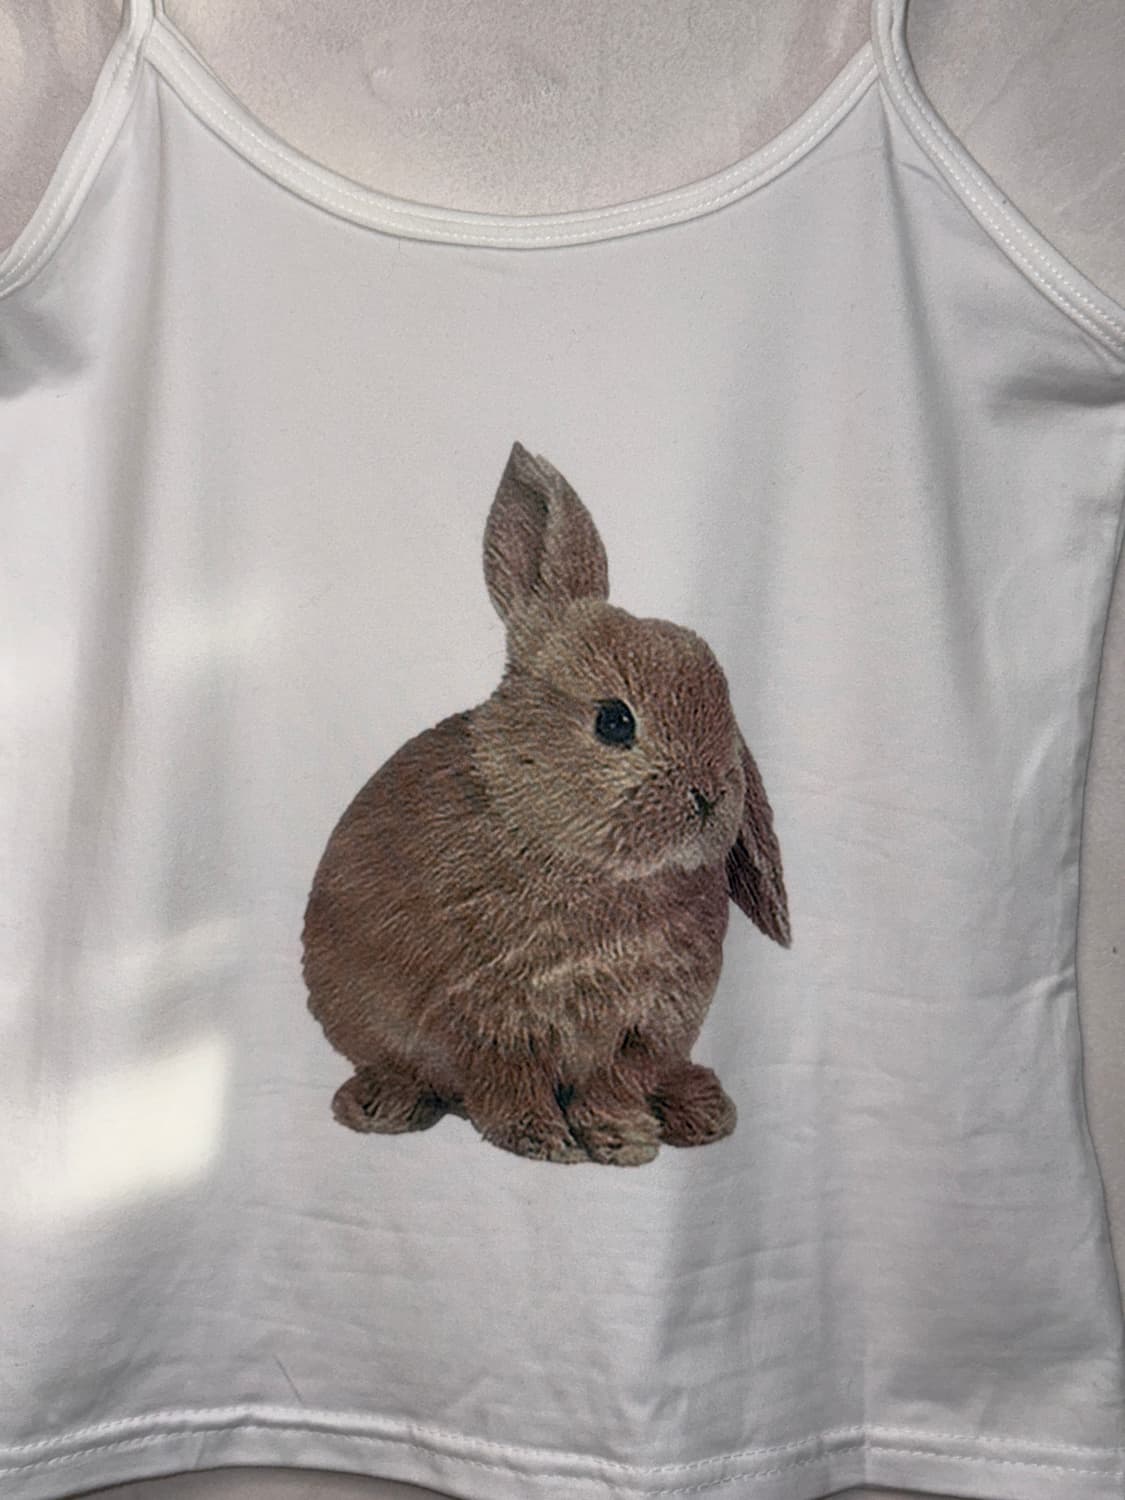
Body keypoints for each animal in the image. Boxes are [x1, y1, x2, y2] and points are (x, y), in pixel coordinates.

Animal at [302, 440, 790, 1167]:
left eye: (724, 712)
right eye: (614, 721)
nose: (710, 794)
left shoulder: (641, 1028)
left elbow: (612, 1083)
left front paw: (621, 1138)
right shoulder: (492, 1021)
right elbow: (507, 1083)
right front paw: (543, 1141)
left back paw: (699, 1109)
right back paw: (382, 1104)